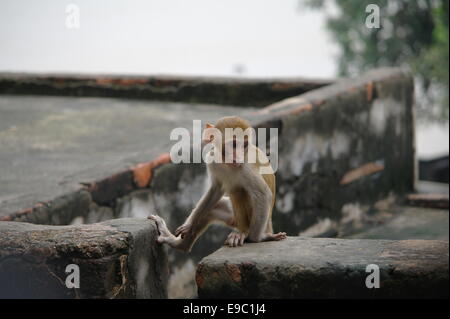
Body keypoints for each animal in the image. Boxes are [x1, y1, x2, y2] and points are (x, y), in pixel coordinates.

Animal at [149, 115, 286, 252]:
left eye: (245, 144)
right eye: (234, 144)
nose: (239, 157)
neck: (225, 162)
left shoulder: (246, 167)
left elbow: (263, 194)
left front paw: (259, 238)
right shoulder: (212, 160)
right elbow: (215, 190)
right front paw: (189, 225)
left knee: (239, 191)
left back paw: (245, 233)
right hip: (232, 217)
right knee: (214, 207)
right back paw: (179, 244)